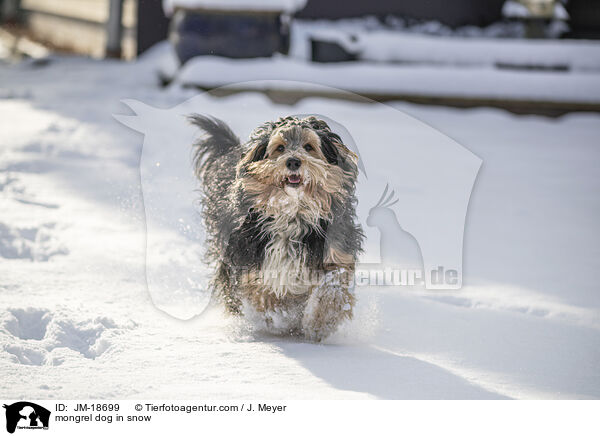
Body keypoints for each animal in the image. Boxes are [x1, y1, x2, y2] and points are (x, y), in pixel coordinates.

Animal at [190, 115, 364, 340]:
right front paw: (280, 313)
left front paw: (321, 320)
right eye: (280, 148)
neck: (292, 213)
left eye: (309, 146)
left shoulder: (335, 249)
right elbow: (261, 289)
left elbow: (335, 281)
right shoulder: (248, 255)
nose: (293, 161)